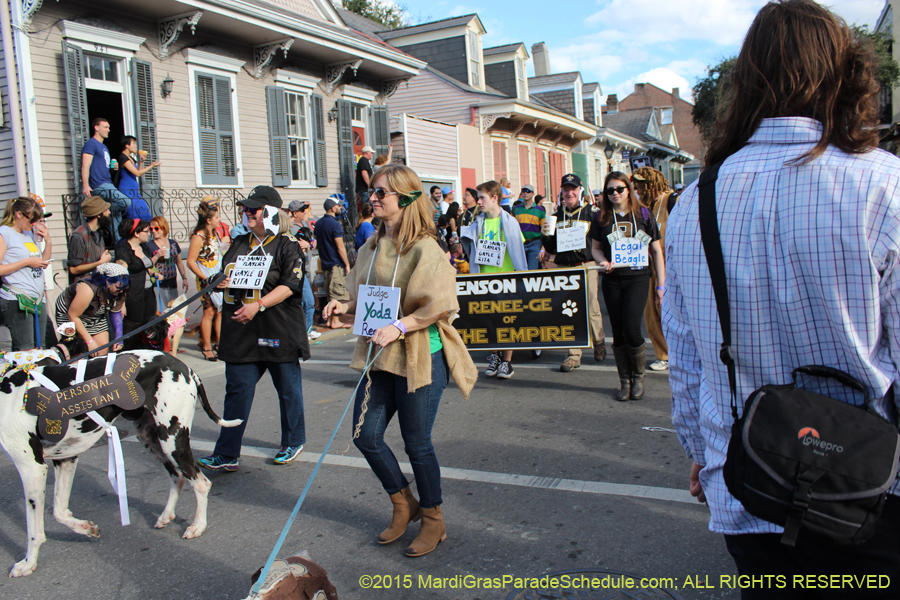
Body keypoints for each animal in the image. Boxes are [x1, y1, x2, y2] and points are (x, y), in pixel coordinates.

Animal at [0, 352, 239, 576]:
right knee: (177, 477)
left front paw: (28, 563)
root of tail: (185, 368)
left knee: (201, 483)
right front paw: (86, 529)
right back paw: (166, 516)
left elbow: (34, 530)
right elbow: (59, 511)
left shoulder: (32, 469)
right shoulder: (65, 458)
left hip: (173, 440)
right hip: (152, 440)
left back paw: (198, 526)